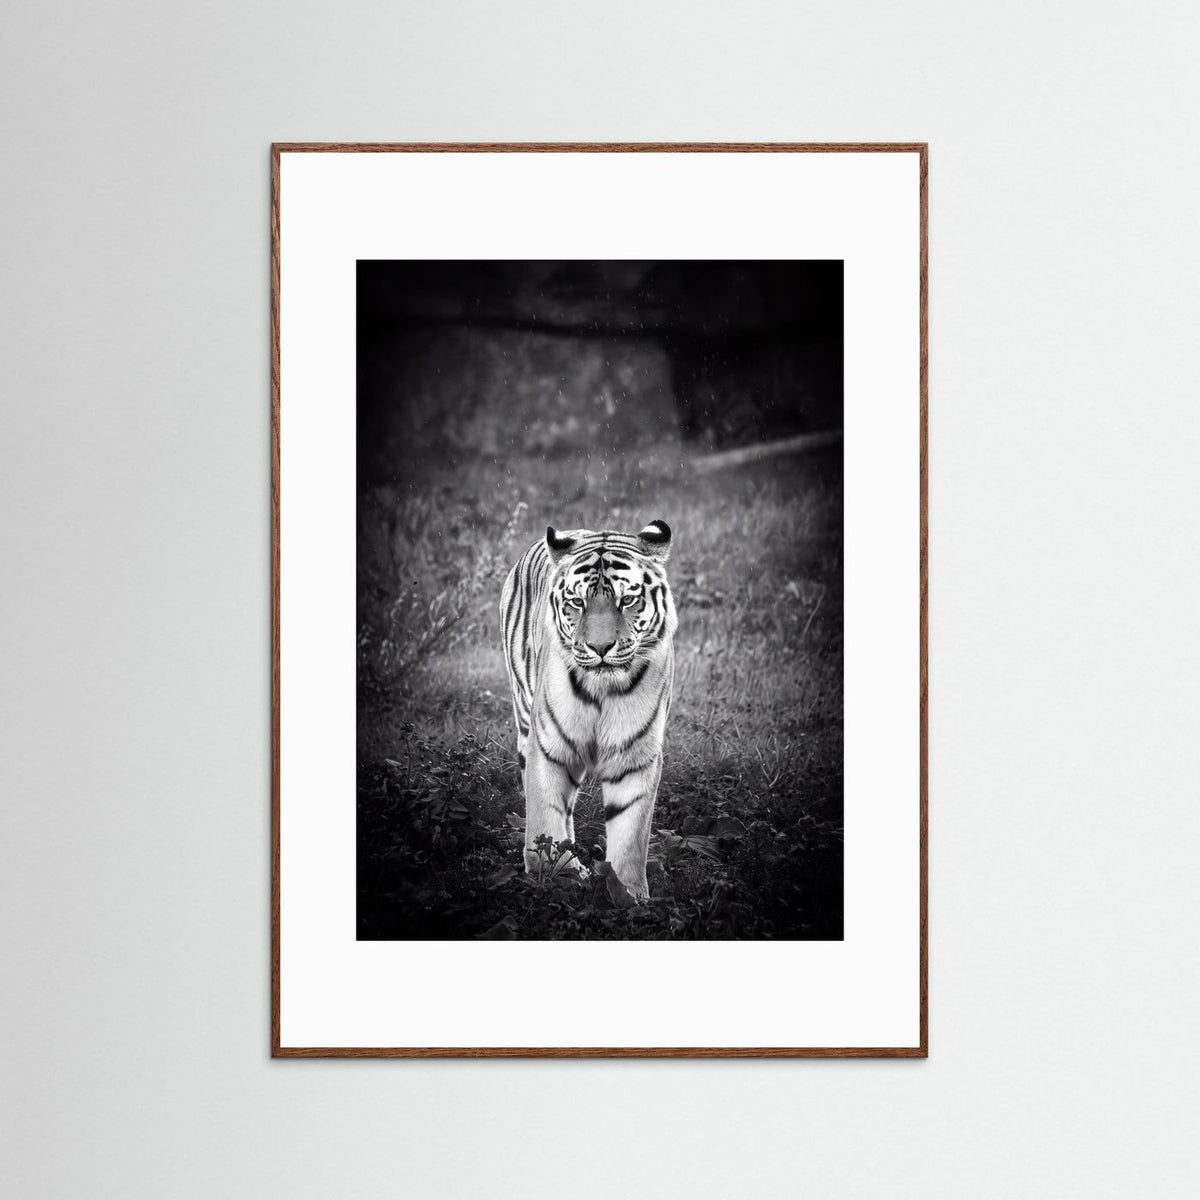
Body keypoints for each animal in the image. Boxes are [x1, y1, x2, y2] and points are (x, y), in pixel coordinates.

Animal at [500, 519, 677, 900]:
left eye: (627, 600)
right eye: (577, 602)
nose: (600, 647)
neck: (602, 690)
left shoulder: (635, 756)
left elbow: (631, 833)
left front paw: (628, 895)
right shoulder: (548, 747)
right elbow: (545, 816)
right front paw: (555, 876)